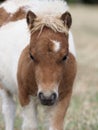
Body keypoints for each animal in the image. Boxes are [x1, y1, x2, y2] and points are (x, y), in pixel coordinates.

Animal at [0, 0, 76, 130]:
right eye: (31, 55)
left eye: (65, 56)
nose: (47, 97)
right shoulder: (24, 94)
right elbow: (30, 125)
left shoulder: (64, 97)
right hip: (4, 86)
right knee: (9, 109)